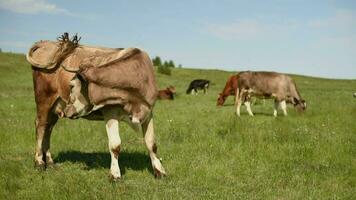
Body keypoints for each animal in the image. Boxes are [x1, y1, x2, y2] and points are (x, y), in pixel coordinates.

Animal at [26, 32, 165, 180]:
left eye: (72, 85)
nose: (67, 110)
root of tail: (45, 42)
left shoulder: (148, 112)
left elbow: (151, 143)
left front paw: (159, 171)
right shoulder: (110, 112)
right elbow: (115, 145)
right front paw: (115, 175)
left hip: (55, 107)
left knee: (49, 127)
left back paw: (50, 161)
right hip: (44, 98)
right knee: (41, 125)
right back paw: (39, 162)